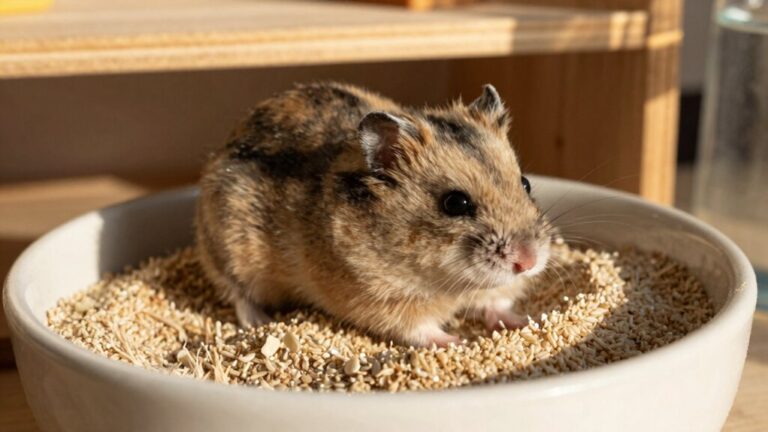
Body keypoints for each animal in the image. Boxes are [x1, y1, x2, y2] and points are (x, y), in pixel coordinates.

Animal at [195, 82, 551, 347]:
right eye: (455, 203)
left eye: (525, 182)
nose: (528, 262)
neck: (452, 285)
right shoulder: (384, 302)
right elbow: (420, 329)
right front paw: (457, 341)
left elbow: (496, 304)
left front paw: (524, 322)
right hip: (229, 250)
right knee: (239, 293)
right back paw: (260, 321)